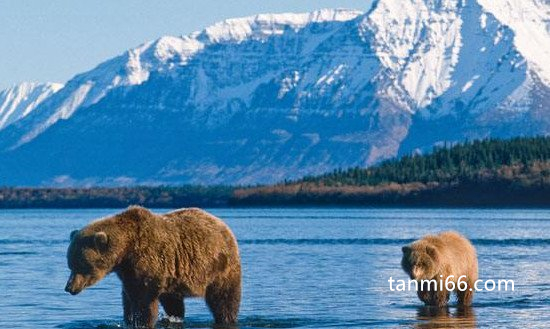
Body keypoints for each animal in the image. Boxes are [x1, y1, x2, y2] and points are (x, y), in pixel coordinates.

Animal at [64, 206, 242, 326]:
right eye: (70, 264)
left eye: (82, 265)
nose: (69, 287)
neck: (126, 251)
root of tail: (222, 223)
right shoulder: (128, 272)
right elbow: (128, 298)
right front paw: (130, 319)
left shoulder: (147, 263)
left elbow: (144, 300)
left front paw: (142, 321)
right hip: (174, 278)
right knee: (173, 301)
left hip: (220, 267)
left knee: (224, 298)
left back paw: (226, 318)